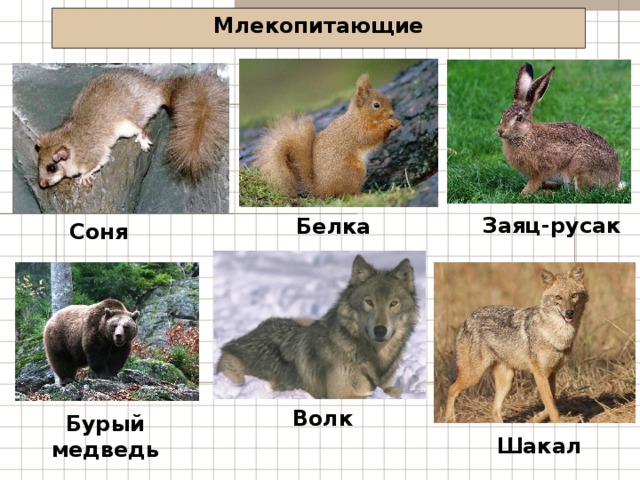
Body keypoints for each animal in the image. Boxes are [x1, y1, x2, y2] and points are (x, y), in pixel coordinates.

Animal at [216, 255, 419, 399]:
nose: (380, 330)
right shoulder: (340, 395)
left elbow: (395, 390)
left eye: (393, 303)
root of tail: (235, 342)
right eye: (369, 302)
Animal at [444, 264, 588, 423]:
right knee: (451, 389)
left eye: (574, 295)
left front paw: (535, 419)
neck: (558, 336)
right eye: (558, 297)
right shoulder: (539, 373)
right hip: (474, 376)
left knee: (494, 409)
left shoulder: (551, 372)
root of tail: (468, 318)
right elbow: (550, 403)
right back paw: (449, 419)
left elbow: (550, 402)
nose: (569, 312)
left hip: (507, 380)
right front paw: (558, 421)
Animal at [497, 63, 622, 195]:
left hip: (581, 166)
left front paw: (526, 192)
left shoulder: (540, 171)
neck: (525, 135)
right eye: (503, 113)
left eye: (519, 118)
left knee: (580, 193)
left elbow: (529, 189)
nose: (500, 131)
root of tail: (615, 180)